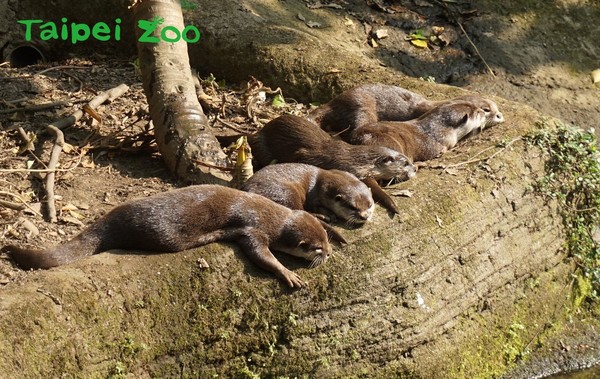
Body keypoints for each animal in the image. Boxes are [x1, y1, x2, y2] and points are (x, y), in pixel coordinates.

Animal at [2, 185, 330, 288]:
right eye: (316, 249)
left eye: (326, 240)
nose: (328, 254)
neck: (273, 217)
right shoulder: (254, 229)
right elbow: (260, 254)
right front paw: (288, 273)